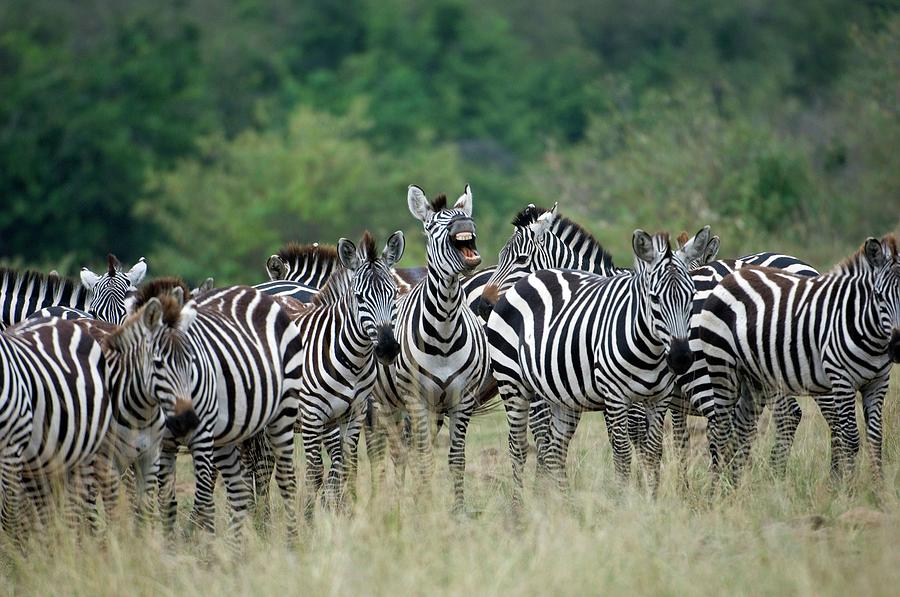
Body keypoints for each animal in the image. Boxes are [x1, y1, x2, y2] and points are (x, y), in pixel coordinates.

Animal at [0, 316, 111, 536]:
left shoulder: (12, 446)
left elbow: (8, 517)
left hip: (84, 452)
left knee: (75, 509)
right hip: (40, 462)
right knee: (49, 513)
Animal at [372, 184, 488, 510]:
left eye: (466, 216)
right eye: (433, 226)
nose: (464, 225)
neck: (445, 328)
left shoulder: (462, 399)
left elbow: (456, 460)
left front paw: (458, 509)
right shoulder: (417, 399)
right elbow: (422, 459)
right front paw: (424, 506)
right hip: (387, 404)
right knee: (397, 452)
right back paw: (400, 500)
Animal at [488, 229, 708, 498]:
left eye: (692, 295)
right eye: (654, 298)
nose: (681, 358)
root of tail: (530, 280)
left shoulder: (660, 397)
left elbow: (651, 451)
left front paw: (650, 500)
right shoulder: (616, 396)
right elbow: (624, 451)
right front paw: (626, 498)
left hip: (560, 395)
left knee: (554, 448)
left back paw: (563, 502)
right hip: (513, 384)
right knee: (519, 446)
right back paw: (521, 504)